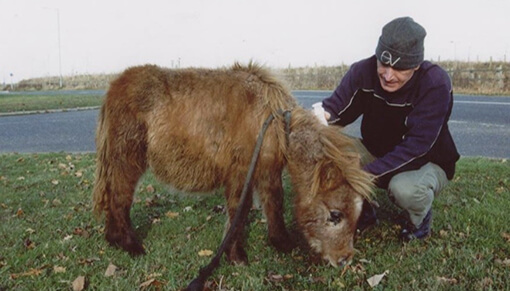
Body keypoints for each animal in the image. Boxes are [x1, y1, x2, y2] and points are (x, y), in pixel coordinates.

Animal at [92, 62, 370, 268]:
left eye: (358, 215)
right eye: (335, 215)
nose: (344, 260)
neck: (271, 118)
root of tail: (114, 87)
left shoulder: (267, 171)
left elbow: (274, 203)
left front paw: (280, 242)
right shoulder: (241, 171)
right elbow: (241, 209)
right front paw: (236, 255)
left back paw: (113, 239)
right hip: (127, 160)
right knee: (119, 199)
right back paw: (130, 245)